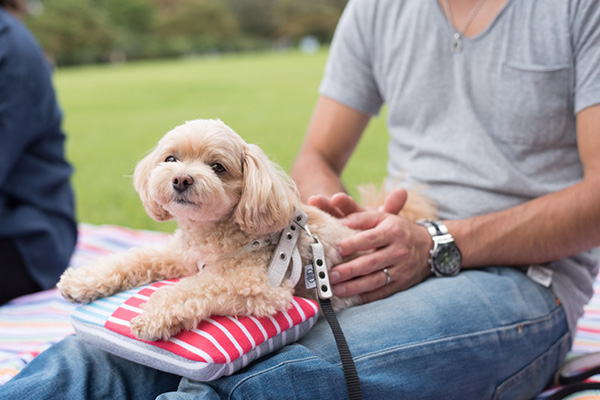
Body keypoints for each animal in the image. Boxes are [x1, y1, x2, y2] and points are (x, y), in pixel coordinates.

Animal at [58, 119, 434, 340]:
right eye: (171, 159)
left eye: (217, 167)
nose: (181, 180)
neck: (212, 233)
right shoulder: (180, 255)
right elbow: (135, 258)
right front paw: (82, 281)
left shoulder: (259, 285)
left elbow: (193, 288)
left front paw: (155, 317)